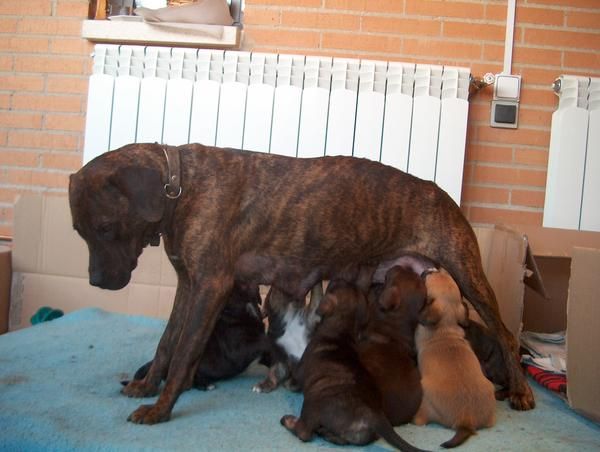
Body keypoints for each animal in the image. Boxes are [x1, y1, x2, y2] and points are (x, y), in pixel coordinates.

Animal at [412, 268, 496, 448]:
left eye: (429, 276)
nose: (430, 268)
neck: (445, 327)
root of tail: (466, 420)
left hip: (425, 400)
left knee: (420, 420)